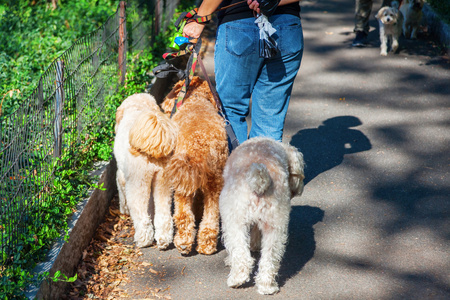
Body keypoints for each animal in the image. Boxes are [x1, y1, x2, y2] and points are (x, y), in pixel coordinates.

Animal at [113, 94, 178, 248]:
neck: (137, 108)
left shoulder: (122, 176)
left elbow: (120, 190)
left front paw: (123, 209)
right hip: (162, 183)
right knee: (163, 216)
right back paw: (163, 240)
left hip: (137, 184)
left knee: (141, 216)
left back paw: (143, 240)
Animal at [219, 137, 304, 294]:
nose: (299, 189)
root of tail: (259, 179)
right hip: (275, 228)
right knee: (269, 259)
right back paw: (267, 286)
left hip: (234, 223)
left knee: (242, 256)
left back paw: (236, 280)